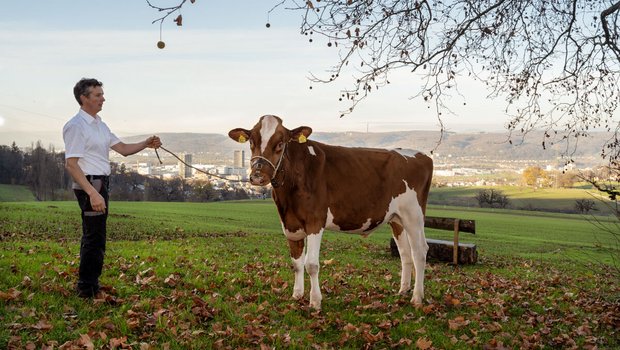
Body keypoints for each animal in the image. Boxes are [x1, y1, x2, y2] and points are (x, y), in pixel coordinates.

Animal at [229, 115, 436, 308]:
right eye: (251, 141)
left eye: (280, 143)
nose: (257, 176)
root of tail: (419, 155)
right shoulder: (290, 224)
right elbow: (296, 263)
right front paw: (297, 295)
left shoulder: (315, 221)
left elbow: (311, 264)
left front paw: (315, 301)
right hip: (396, 218)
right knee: (405, 252)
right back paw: (403, 290)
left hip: (414, 215)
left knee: (419, 251)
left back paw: (417, 297)